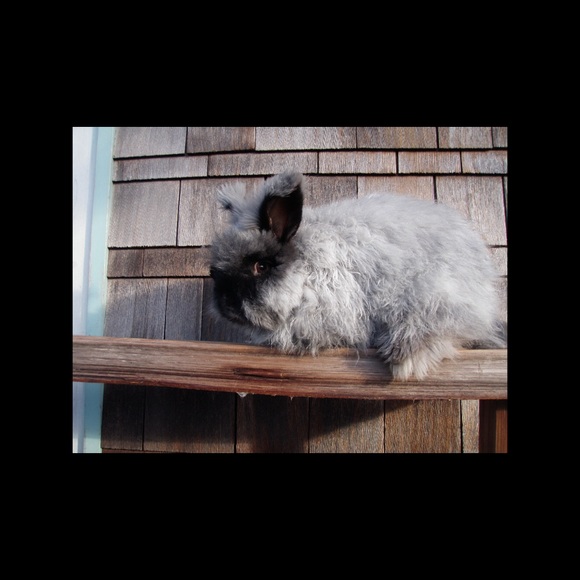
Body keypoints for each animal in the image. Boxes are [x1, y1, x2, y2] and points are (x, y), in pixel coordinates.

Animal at [209, 170, 505, 380]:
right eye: (214, 272)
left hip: (434, 294)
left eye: (261, 267)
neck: (307, 271)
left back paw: (404, 356)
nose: (225, 305)